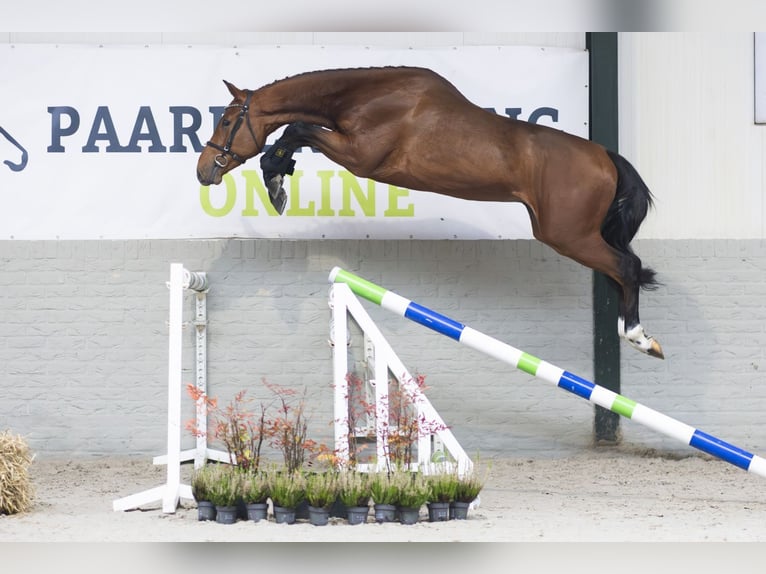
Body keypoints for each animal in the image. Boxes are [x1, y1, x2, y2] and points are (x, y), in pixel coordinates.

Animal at [198, 66, 664, 360]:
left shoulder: (360, 156)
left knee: (626, 266)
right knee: (623, 269)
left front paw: (276, 181)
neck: (368, 97)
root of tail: (605, 156)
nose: (204, 171)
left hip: (567, 235)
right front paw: (278, 177)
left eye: (226, 121)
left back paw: (640, 338)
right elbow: (295, 133)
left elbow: (297, 130)